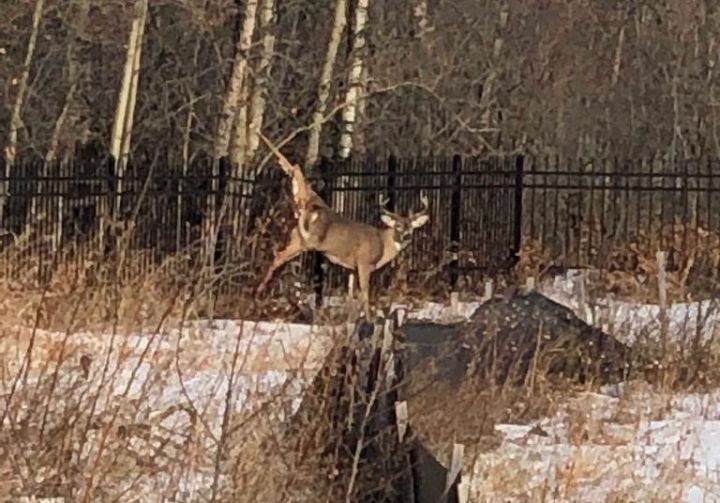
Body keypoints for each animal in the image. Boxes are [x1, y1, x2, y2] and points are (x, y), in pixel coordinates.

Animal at [255, 132, 430, 319]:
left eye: (411, 227)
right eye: (398, 226)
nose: (406, 236)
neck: (383, 245)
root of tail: (310, 200)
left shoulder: (352, 267)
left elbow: (352, 294)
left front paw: (351, 318)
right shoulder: (364, 262)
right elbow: (365, 293)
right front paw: (368, 319)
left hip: (295, 236)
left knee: (279, 256)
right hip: (308, 240)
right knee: (279, 256)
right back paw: (260, 293)